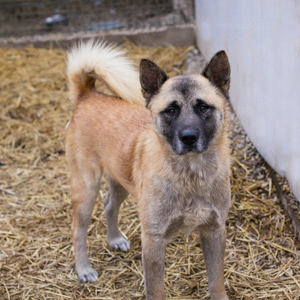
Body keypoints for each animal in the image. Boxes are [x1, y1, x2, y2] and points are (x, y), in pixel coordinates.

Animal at [65, 40, 231, 300]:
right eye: (171, 110)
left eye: (203, 107)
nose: (189, 137)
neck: (191, 175)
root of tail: (88, 95)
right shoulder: (153, 240)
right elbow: (155, 290)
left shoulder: (214, 231)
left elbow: (216, 282)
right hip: (86, 189)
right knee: (78, 230)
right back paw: (84, 269)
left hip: (121, 180)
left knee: (110, 205)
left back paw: (115, 239)